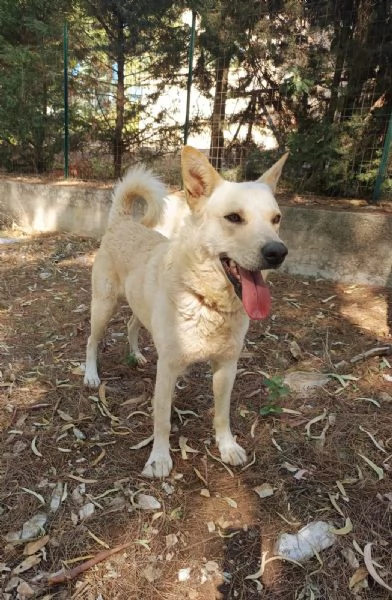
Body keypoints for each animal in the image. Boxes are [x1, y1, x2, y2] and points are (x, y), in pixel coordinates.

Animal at [84, 146, 288, 478]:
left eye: (276, 219)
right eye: (234, 217)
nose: (278, 252)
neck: (207, 300)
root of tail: (122, 223)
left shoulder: (227, 367)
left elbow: (222, 414)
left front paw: (227, 446)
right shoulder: (167, 370)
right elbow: (162, 420)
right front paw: (159, 459)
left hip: (139, 306)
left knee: (131, 325)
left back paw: (136, 355)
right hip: (104, 305)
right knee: (92, 341)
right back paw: (90, 374)